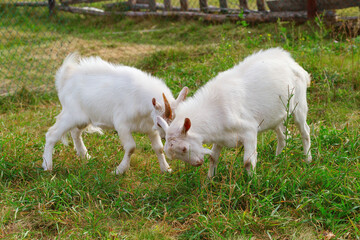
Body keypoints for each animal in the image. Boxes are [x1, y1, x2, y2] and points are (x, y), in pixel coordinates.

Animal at [42, 53, 188, 174]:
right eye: (160, 122)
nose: (166, 136)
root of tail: (65, 80)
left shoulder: (149, 128)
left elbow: (158, 148)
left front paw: (166, 169)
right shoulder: (122, 125)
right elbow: (131, 147)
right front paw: (120, 170)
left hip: (83, 119)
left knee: (75, 133)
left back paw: (85, 156)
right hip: (71, 115)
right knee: (52, 134)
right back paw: (47, 165)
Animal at [158, 47, 312, 177]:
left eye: (184, 148)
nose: (198, 163)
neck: (216, 109)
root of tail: (294, 64)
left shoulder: (249, 131)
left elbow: (248, 162)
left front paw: (252, 183)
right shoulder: (220, 137)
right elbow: (213, 158)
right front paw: (209, 181)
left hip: (299, 105)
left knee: (305, 130)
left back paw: (308, 159)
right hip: (275, 117)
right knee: (282, 136)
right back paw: (277, 160)